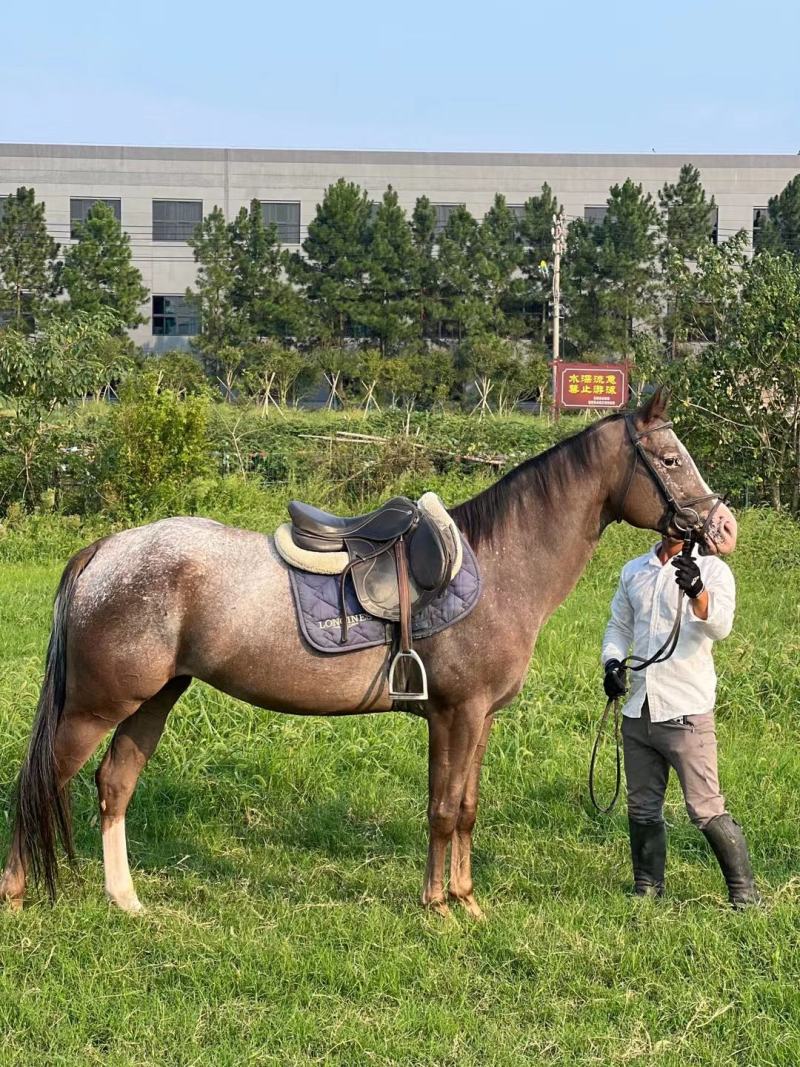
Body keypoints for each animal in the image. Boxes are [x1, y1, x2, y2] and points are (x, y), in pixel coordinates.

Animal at [0, 389, 738, 916]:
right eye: (671, 460)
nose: (723, 526)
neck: (499, 565)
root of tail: (105, 551)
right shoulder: (457, 713)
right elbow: (444, 808)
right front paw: (440, 906)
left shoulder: (474, 719)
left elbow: (463, 806)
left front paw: (463, 900)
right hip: (95, 706)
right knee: (40, 779)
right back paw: (16, 891)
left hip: (153, 699)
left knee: (114, 783)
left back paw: (126, 901)